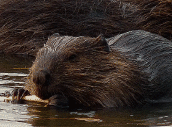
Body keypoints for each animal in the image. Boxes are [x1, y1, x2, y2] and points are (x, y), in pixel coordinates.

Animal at [12, 30, 172, 108]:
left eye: (72, 56)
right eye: (39, 53)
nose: (39, 77)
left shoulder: (122, 81)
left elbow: (108, 104)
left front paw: (58, 99)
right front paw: (19, 92)